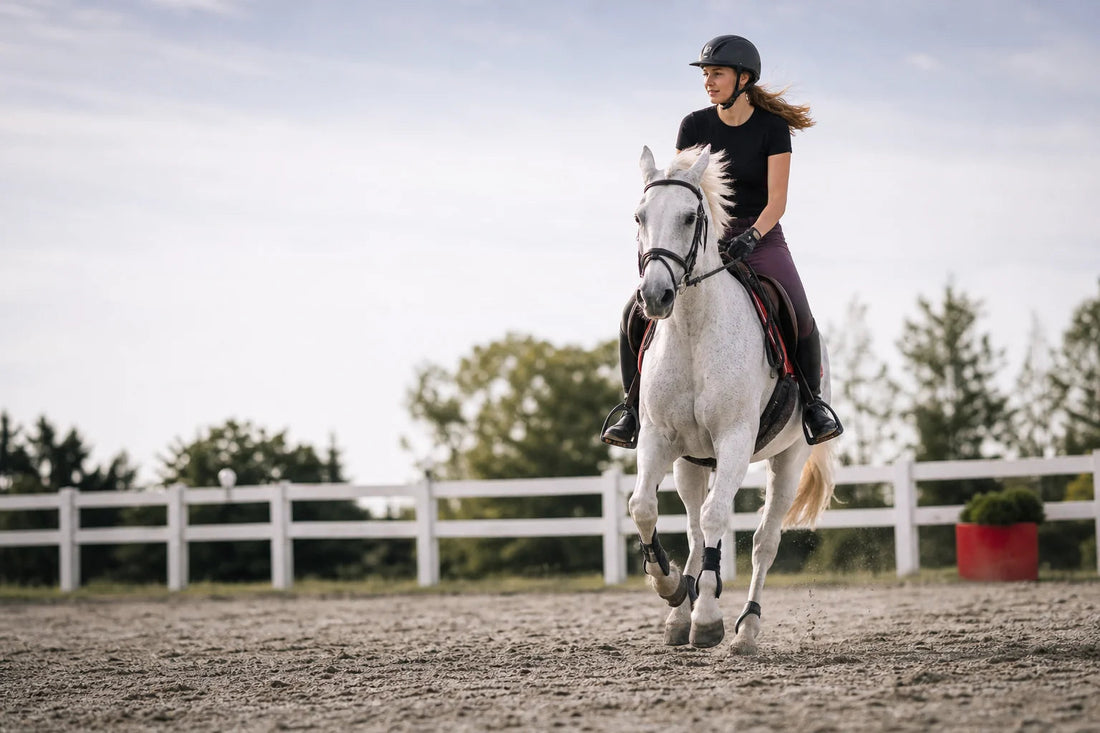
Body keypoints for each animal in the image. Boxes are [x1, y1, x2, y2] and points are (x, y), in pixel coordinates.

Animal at [627, 144, 836, 653]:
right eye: (639, 216)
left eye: (689, 217)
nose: (655, 296)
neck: (692, 329)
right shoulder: (658, 438)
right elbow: (643, 507)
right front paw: (670, 587)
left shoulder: (736, 440)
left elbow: (719, 516)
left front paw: (706, 617)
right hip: (691, 462)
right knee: (694, 529)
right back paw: (679, 612)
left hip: (788, 458)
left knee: (764, 540)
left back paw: (745, 628)